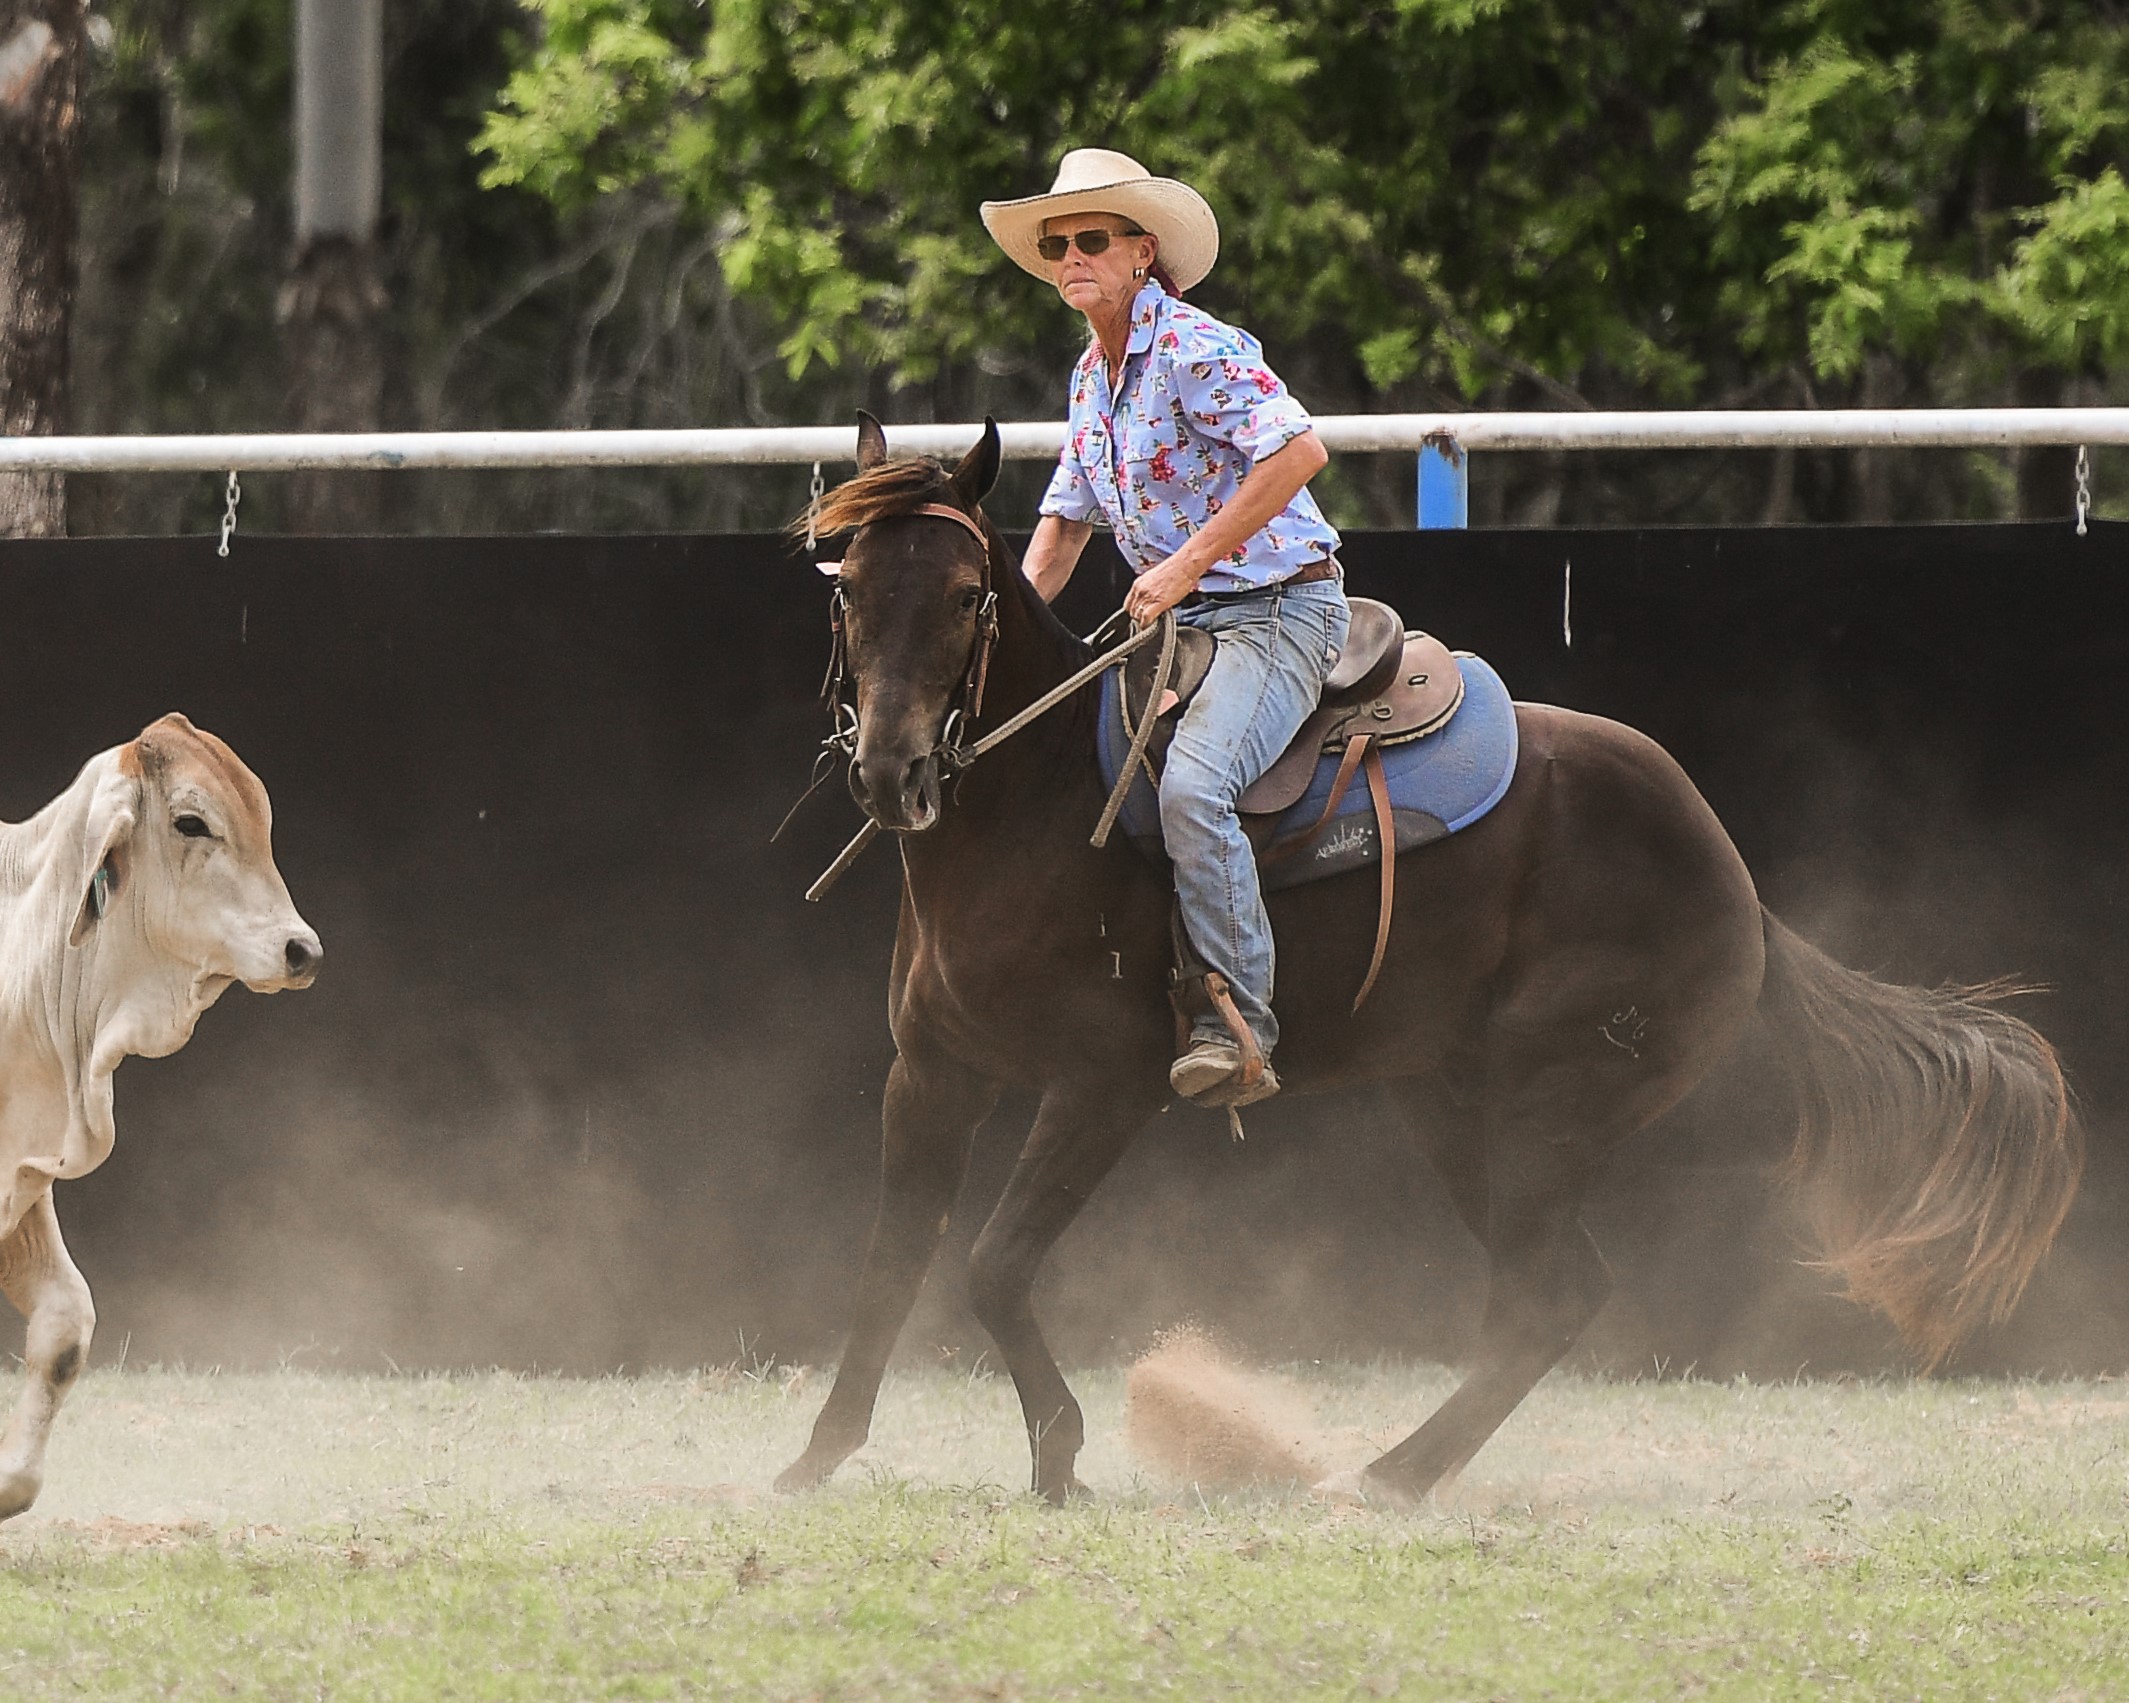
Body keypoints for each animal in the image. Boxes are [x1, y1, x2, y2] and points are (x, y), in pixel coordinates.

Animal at [776, 415, 2083, 1507]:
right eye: (846, 596)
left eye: (961, 596)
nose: (891, 770)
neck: (1036, 806)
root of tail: (1742, 892)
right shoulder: (930, 1074)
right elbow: (892, 1259)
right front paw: (816, 1453)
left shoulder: (1102, 1085)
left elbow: (992, 1264)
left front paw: (1058, 1453)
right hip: (1447, 1098)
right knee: (1548, 1291)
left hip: (1544, 1102)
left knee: (1547, 1294)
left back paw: (1385, 1475)